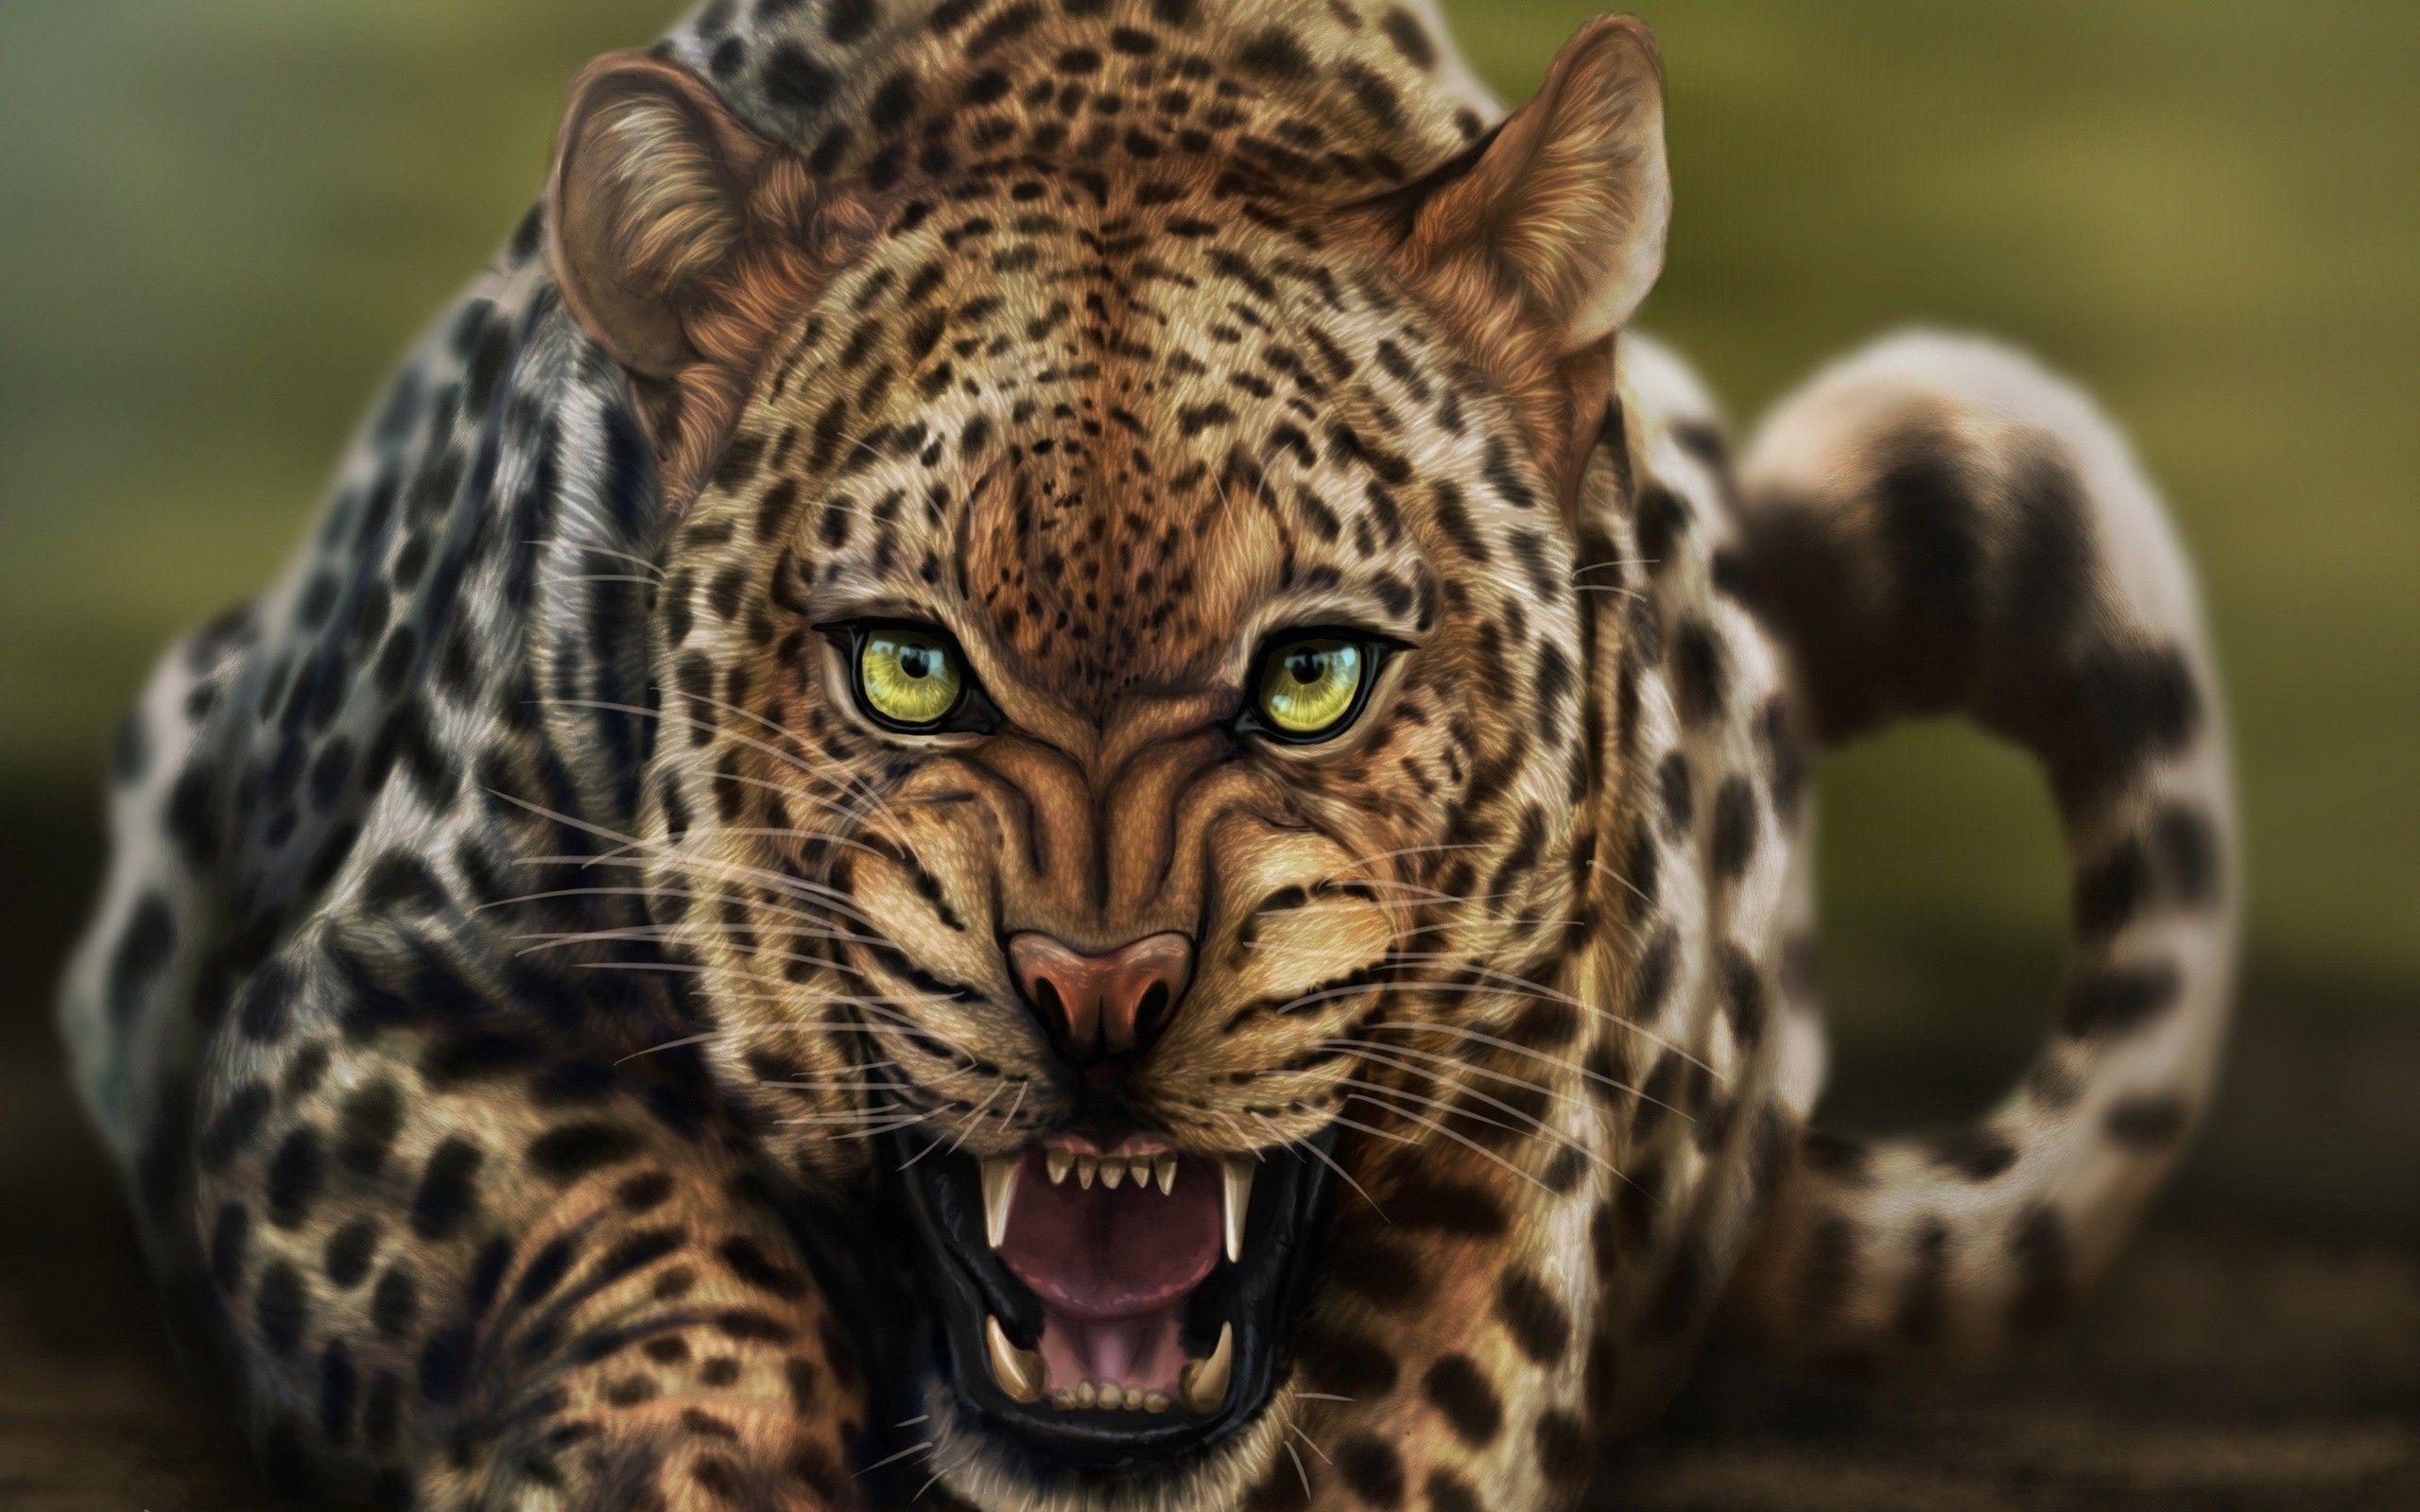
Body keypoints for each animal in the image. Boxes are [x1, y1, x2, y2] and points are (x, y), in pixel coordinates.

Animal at [58, 3, 2238, 1510]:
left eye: (1311, 679)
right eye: (908, 670)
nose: (1098, 995)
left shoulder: (1525, 1102)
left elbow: (1418, 1405)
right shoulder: (351, 1013)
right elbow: (613, 1216)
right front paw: (678, 1457)